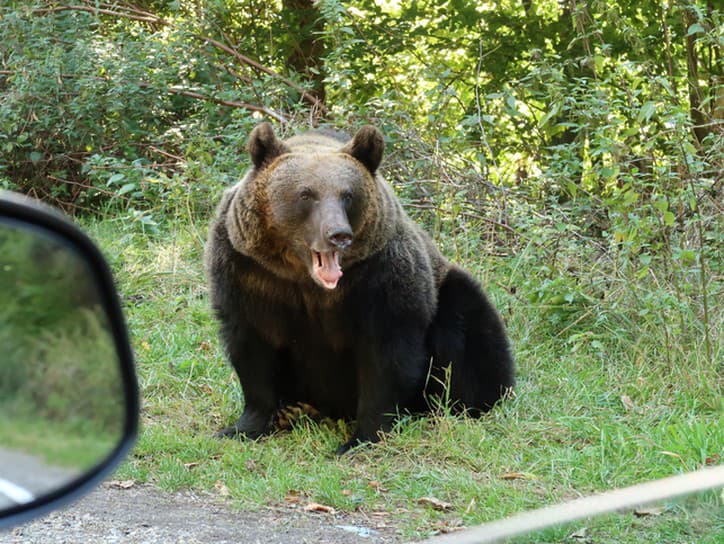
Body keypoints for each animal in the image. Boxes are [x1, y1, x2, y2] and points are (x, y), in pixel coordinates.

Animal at [204, 123, 512, 454]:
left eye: (347, 195)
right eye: (306, 194)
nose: (338, 234)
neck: (306, 280)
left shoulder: (379, 279)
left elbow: (386, 358)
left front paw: (361, 437)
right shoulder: (248, 276)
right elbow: (253, 351)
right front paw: (244, 426)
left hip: (447, 292)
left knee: (468, 333)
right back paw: (295, 410)